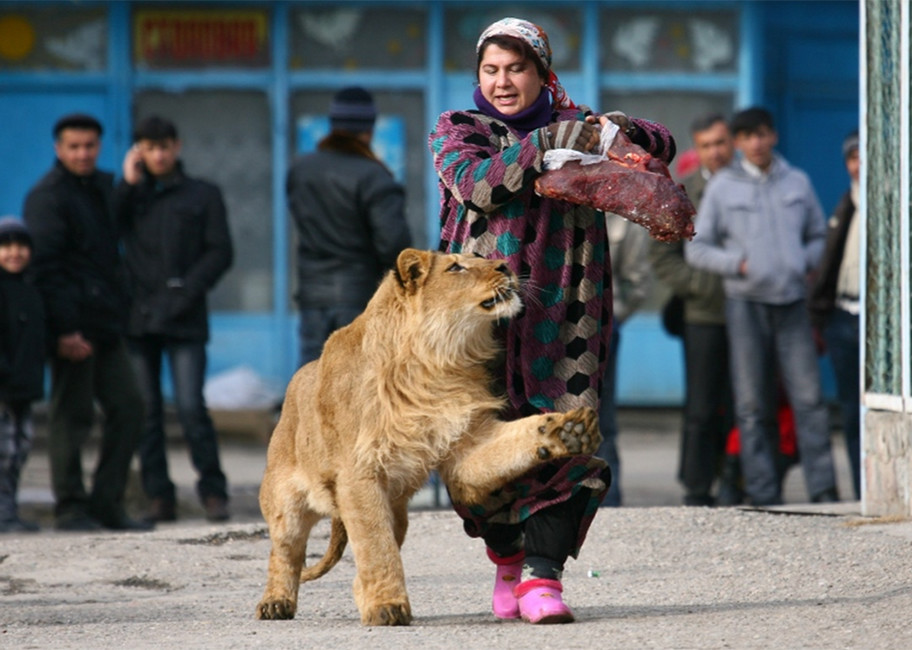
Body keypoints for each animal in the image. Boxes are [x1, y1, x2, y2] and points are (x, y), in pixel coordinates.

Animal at [256, 247, 600, 624]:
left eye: (478, 257)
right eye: (456, 267)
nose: (506, 266)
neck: (437, 362)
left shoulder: (467, 443)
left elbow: (513, 441)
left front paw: (567, 431)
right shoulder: (358, 474)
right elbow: (376, 546)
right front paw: (388, 606)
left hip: (396, 512)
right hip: (285, 503)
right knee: (284, 552)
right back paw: (276, 602)